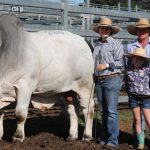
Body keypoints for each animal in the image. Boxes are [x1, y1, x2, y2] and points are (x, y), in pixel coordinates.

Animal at [0, 14, 95, 142]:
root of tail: (83, 41)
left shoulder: (25, 87)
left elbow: (20, 114)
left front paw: (18, 137)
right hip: (68, 90)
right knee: (72, 109)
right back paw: (72, 136)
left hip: (85, 86)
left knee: (88, 109)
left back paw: (87, 136)